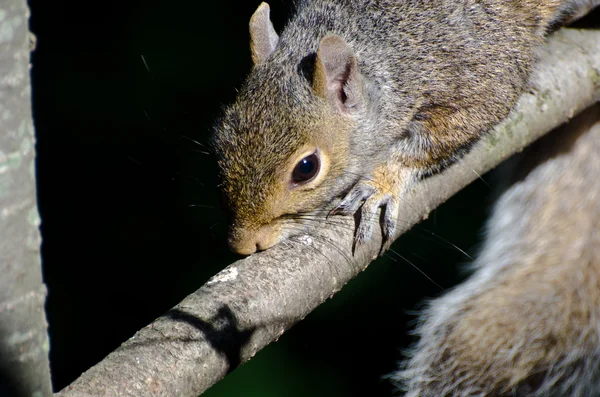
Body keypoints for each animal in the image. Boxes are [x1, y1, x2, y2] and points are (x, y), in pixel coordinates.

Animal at [212, 0, 600, 394]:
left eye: (306, 167)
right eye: (220, 138)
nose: (243, 244)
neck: (383, 53)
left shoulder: (481, 73)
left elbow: (441, 136)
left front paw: (382, 183)